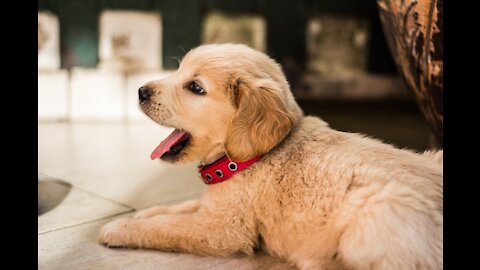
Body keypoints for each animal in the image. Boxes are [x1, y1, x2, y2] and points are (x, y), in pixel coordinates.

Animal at [99, 43, 444, 268]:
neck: (245, 159)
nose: (141, 91)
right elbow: (180, 207)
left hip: (377, 206)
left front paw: (119, 228)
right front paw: (145, 213)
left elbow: (165, 228)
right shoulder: (215, 206)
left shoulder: (221, 229)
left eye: (195, 87)